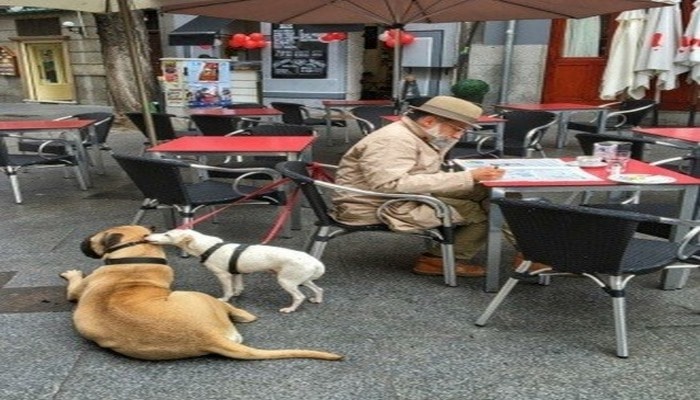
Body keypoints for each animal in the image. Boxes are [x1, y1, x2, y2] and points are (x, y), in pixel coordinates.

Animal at [147, 230, 326, 314]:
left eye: (167, 234)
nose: (148, 236)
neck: (209, 247)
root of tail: (315, 262)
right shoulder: (236, 273)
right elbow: (238, 287)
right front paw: (237, 294)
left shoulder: (223, 275)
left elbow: (227, 291)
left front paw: (225, 299)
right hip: (302, 279)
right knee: (319, 289)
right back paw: (317, 299)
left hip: (286, 281)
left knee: (299, 296)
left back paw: (290, 309)